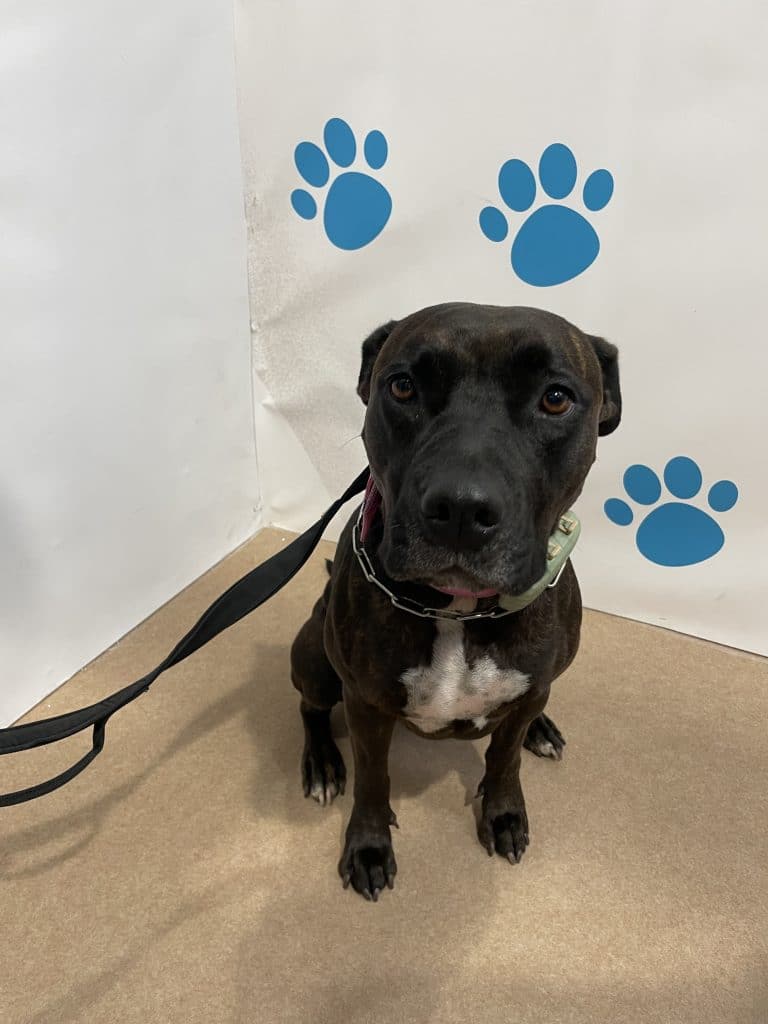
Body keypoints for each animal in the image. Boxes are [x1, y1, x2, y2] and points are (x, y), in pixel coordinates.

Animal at [290, 302, 621, 900]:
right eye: (402, 387)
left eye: (555, 398)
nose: (462, 507)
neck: (459, 609)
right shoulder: (365, 703)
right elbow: (373, 779)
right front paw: (369, 846)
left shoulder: (526, 688)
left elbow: (504, 759)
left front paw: (504, 813)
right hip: (315, 657)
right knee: (311, 706)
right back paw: (323, 763)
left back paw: (541, 728)